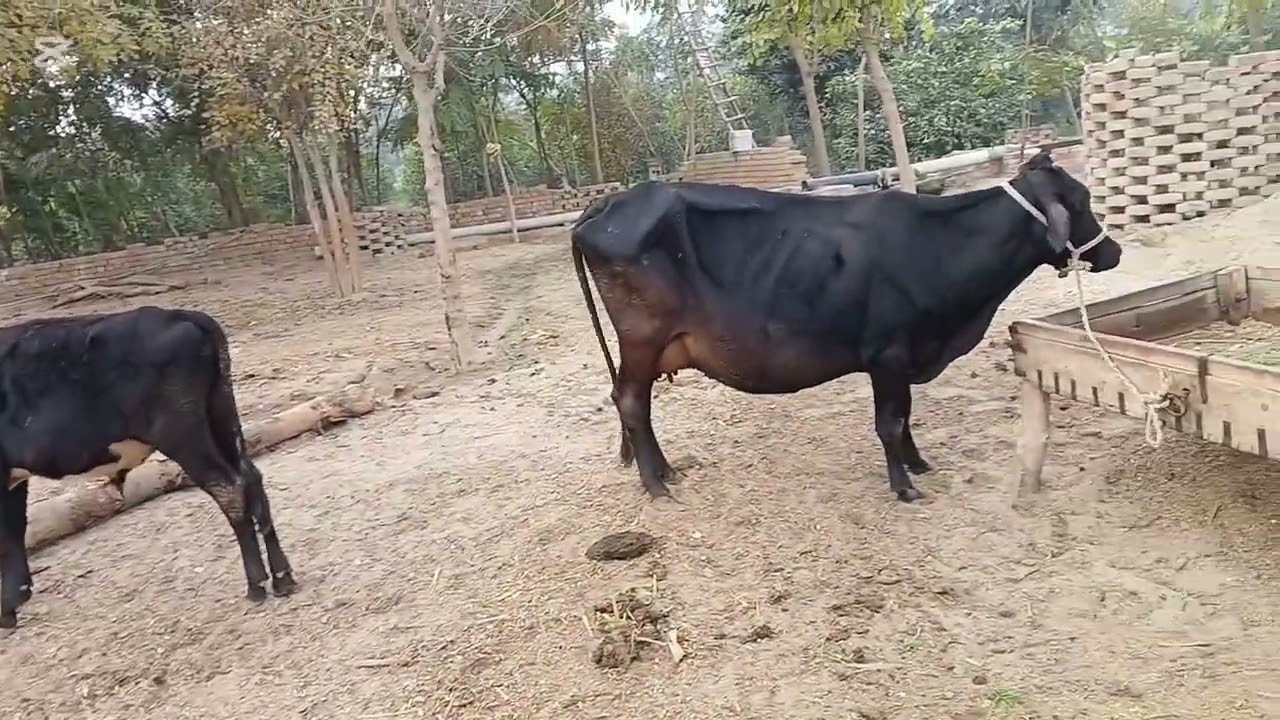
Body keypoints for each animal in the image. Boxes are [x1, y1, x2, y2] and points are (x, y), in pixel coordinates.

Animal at [0, 306, 295, 630]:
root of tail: (181, 314)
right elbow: (14, 532)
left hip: (182, 435)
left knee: (229, 487)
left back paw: (256, 584)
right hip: (223, 417)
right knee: (251, 478)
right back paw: (282, 577)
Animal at [569, 149, 1122, 503]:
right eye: (1080, 203)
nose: (1114, 252)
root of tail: (610, 203)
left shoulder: (902, 357)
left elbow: (905, 417)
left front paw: (918, 464)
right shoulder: (888, 353)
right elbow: (890, 421)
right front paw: (904, 486)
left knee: (636, 406)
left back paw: (666, 470)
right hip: (642, 338)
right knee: (630, 402)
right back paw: (656, 486)